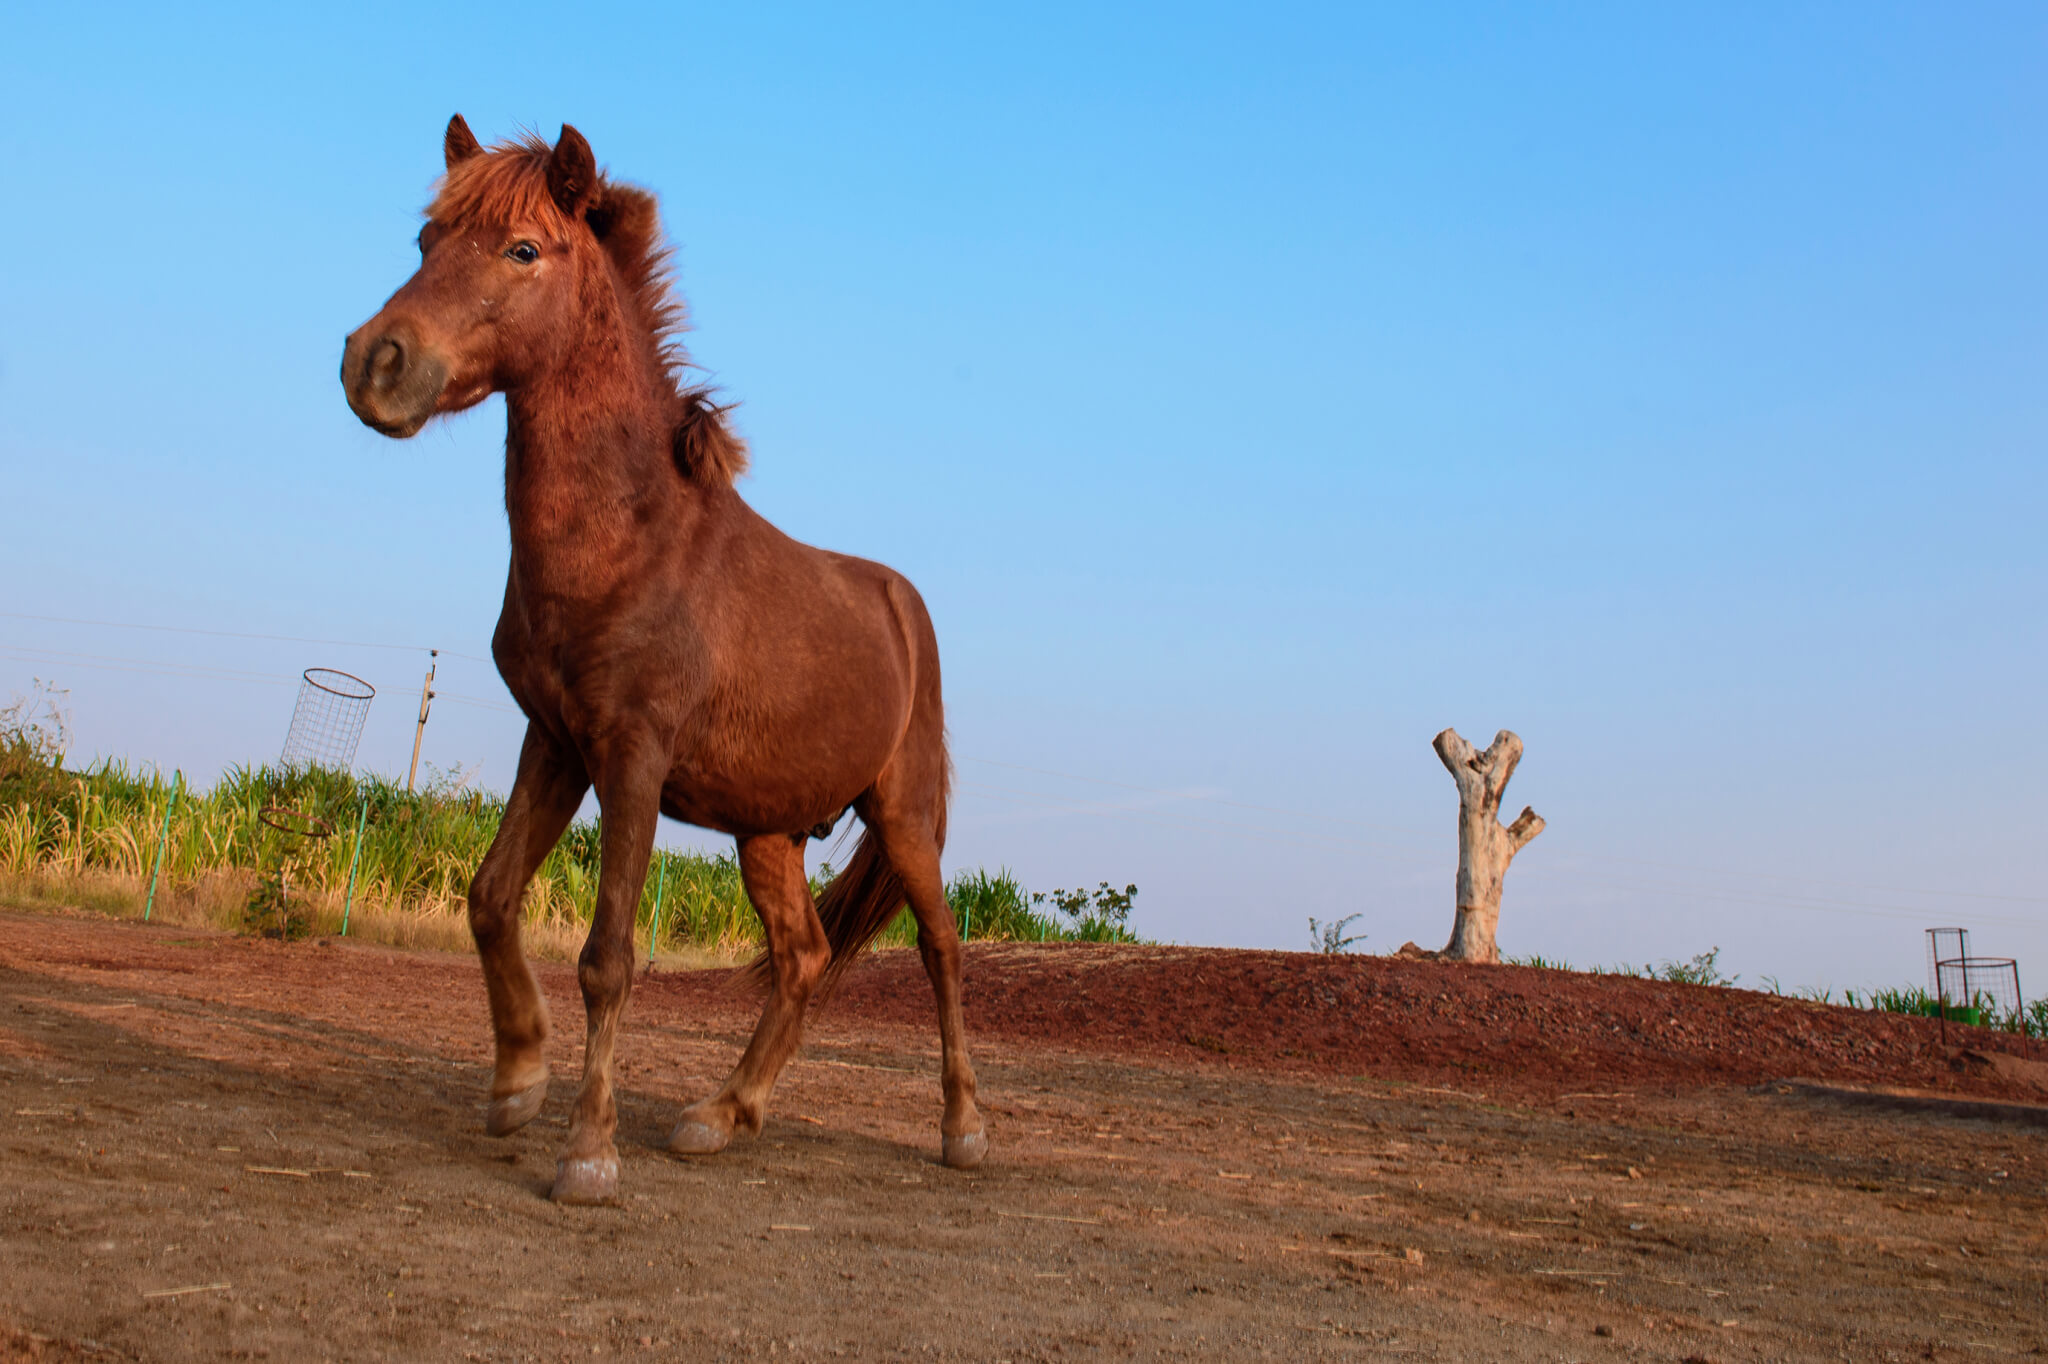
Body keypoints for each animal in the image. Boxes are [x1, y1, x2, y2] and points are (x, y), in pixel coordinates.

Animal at [339, 119, 987, 1204]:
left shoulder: (631, 757)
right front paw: (516, 1079)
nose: (375, 363)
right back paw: (721, 1114)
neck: (628, 536)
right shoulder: (556, 741)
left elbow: (609, 954)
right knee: (803, 955)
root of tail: (903, 605)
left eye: (523, 248)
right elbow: (491, 898)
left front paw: (587, 1151)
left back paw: (964, 1127)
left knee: (939, 947)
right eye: (427, 237)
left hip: (901, 817)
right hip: (768, 831)